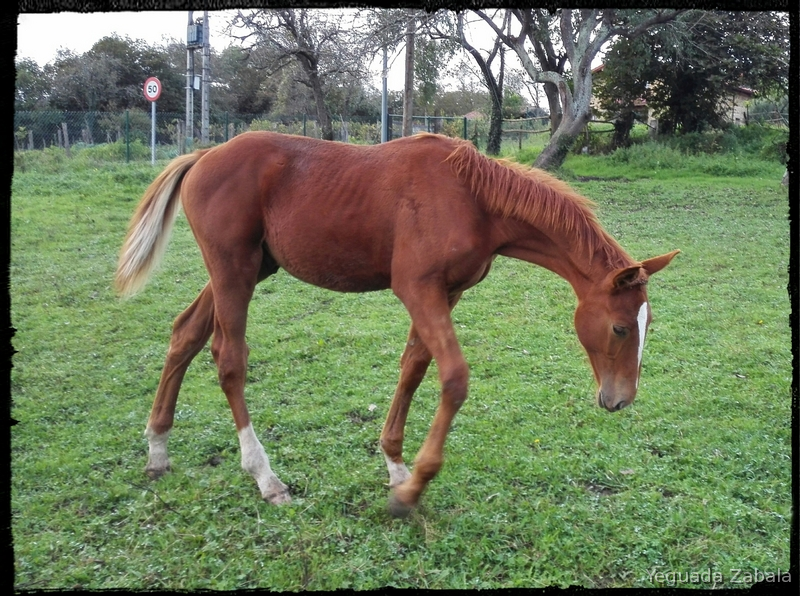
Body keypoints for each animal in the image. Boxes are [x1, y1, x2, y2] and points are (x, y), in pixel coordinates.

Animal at [115, 131, 678, 517]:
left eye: (646, 325)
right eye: (621, 328)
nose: (619, 400)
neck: (472, 198)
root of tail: (204, 156)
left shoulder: (445, 293)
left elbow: (414, 367)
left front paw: (395, 465)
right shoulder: (417, 289)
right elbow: (453, 377)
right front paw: (411, 489)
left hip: (250, 267)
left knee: (185, 334)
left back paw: (157, 448)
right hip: (234, 268)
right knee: (229, 358)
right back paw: (265, 477)